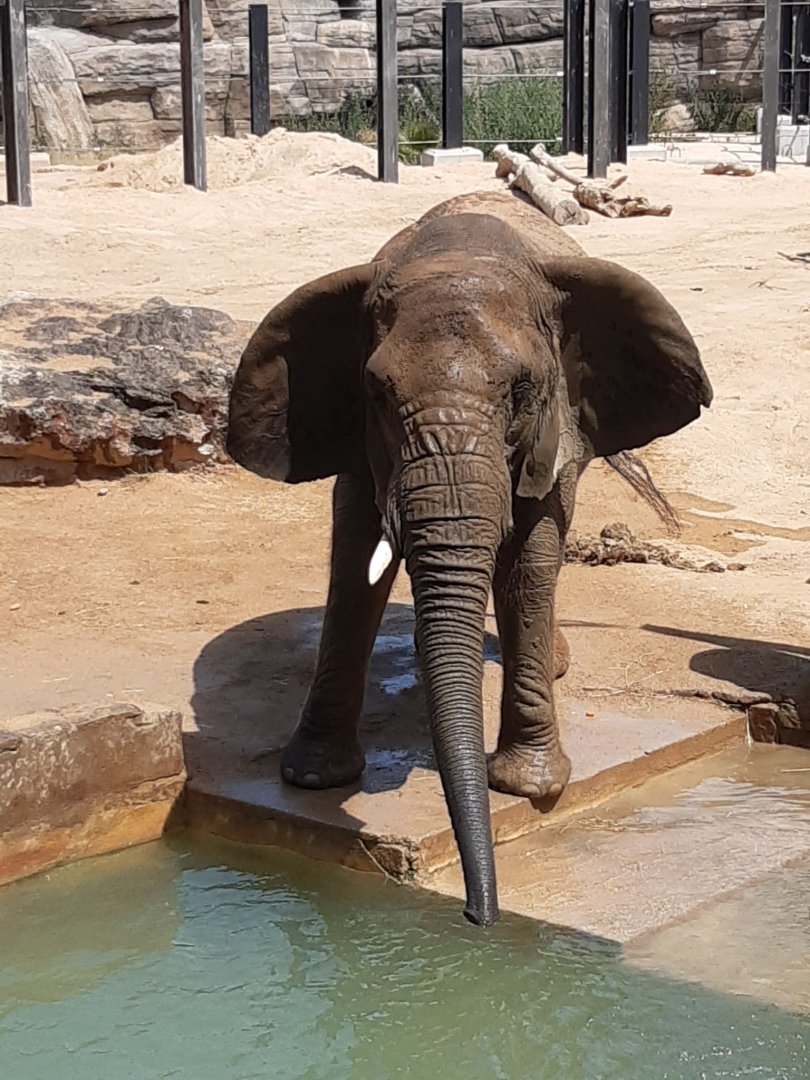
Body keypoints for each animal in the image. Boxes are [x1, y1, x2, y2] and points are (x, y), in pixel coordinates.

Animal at [226, 191, 713, 928]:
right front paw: (311, 777)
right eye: (375, 392)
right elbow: (354, 559)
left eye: (521, 392)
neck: (460, 251)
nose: (478, 917)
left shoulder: (558, 422)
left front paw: (530, 786)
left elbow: (533, 557)